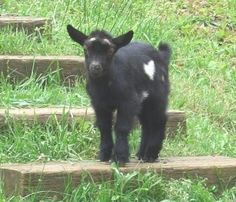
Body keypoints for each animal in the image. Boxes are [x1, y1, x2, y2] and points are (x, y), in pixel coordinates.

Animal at [67, 24, 171, 164]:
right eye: (85, 49)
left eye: (110, 50)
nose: (95, 67)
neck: (106, 87)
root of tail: (161, 55)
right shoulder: (98, 104)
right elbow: (104, 127)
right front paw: (104, 155)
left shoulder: (128, 101)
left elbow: (121, 127)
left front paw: (120, 157)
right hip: (143, 100)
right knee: (146, 123)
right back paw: (141, 154)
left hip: (158, 94)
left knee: (158, 119)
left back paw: (150, 154)